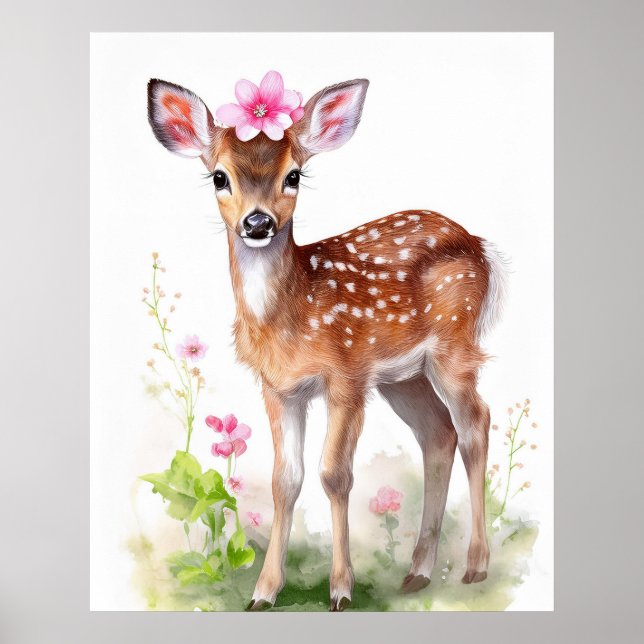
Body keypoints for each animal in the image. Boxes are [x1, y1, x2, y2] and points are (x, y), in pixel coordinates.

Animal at [147, 71, 507, 611]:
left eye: (294, 175)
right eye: (219, 177)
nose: (258, 222)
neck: (291, 318)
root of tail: (479, 246)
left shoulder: (347, 374)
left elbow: (335, 474)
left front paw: (340, 589)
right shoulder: (278, 388)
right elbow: (286, 480)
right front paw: (263, 592)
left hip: (454, 343)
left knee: (475, 424)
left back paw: (475, 564)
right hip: (404, 376)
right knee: (438, 434)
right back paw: (418, 571)